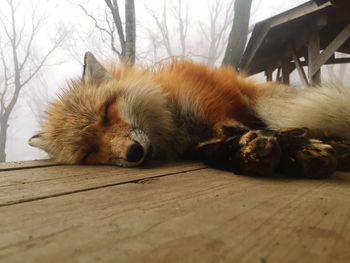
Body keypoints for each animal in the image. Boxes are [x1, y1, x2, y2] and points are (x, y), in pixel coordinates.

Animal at [28, 52, 350, 178]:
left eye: (107, 113)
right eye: (89, 152)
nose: (134, 152)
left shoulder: (217, 103)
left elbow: (255, 129)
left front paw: (299, 149)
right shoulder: (199, 144)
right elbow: (218, 149)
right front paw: (249, 154)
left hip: (272, 104)